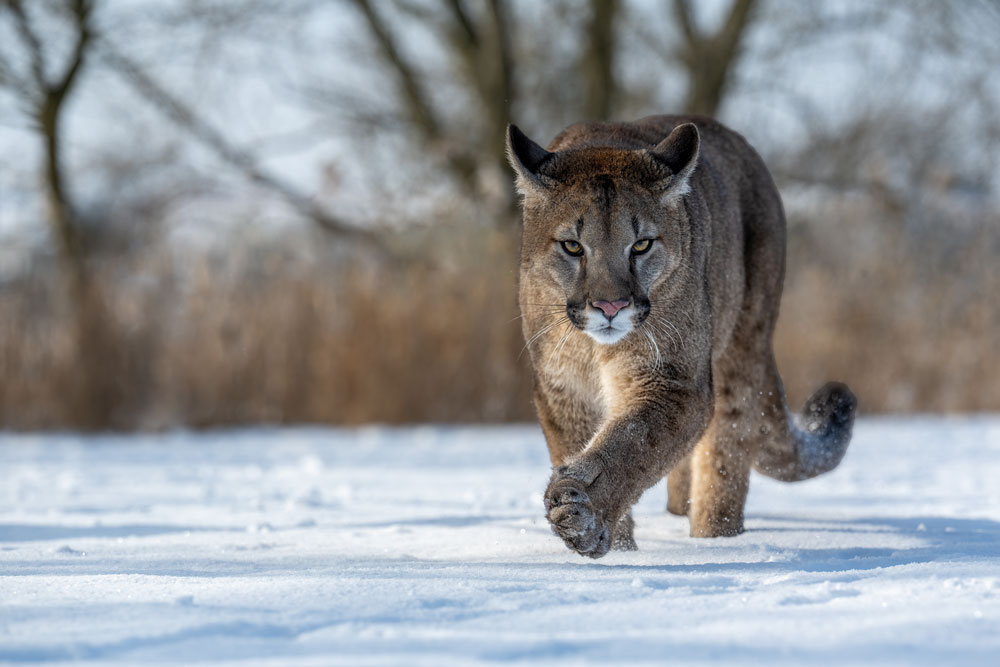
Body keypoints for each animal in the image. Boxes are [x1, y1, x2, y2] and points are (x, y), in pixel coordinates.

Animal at [508, 115, 860, 560]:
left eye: (641, 245)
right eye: (572, 246)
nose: (610, 306)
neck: (595, 351)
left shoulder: (675, 380)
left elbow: (634, 443)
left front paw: (583, 514)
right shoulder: (562, 389)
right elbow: (591, 442)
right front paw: (619, 550)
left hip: (741, 350)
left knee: (726, 451)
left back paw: (716, 541)